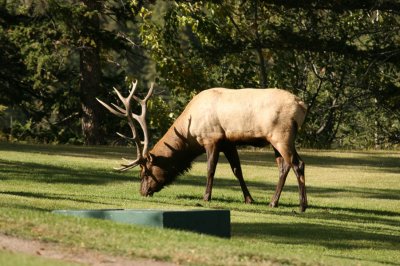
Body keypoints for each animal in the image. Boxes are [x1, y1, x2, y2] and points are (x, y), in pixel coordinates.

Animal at [97, 81, 310, 212]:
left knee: (297, 164)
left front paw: (206, 196)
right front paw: (249, 199)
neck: (189, 133)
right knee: (284, 166)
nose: (142, 192)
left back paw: (302, 206)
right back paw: (273, 202)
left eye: (145, 172)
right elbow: (237, 170)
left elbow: (210, 169)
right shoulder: (228, 142)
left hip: (281, 134)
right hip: (277, 139)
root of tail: (302, 106)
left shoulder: (211, 138)